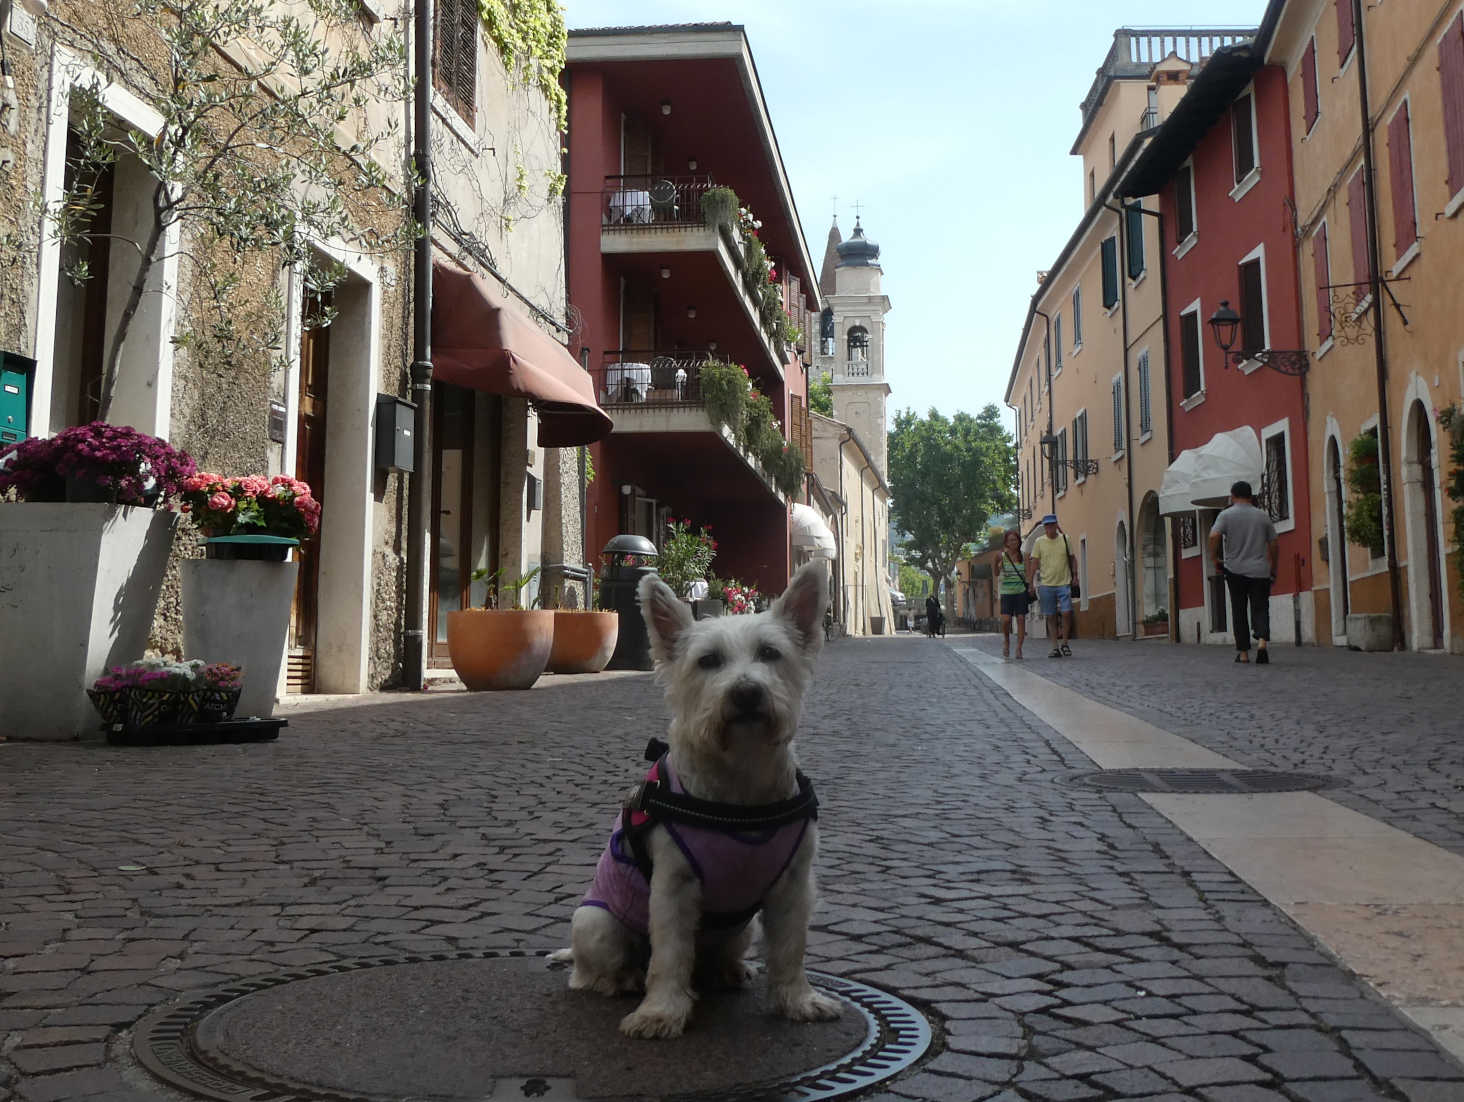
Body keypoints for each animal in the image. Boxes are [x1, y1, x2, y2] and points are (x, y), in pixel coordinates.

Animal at [553, 561, 843, 1036]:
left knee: (717, 956)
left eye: (770, 653)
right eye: (708, 660)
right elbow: (669, 955)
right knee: (593, 971)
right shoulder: (673, 886)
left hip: (740, 929)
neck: (740, 783)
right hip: (596, 922)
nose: (746, 692)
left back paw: (731, 970)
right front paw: (660, 1012)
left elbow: (789, 949)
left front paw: (798, 1000)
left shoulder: (793, 886)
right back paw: (623, 979)